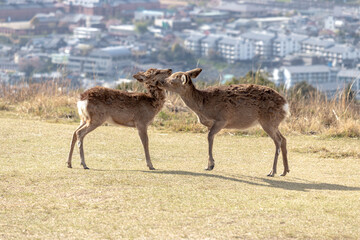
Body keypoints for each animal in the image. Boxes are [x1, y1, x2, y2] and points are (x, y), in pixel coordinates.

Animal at [159, 68, 292, 176]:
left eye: (172, 80)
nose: (161, 81)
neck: (203, 106)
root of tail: (285, 105)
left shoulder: (222, 119)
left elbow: (209, 137)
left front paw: (211, 165)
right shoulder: (211, 124)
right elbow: (210, 138)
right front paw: (209, 164)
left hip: (268, 120)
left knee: (278, 141)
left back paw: (272, 172)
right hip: (274, 122)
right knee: (284, 139)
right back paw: (285, 171)